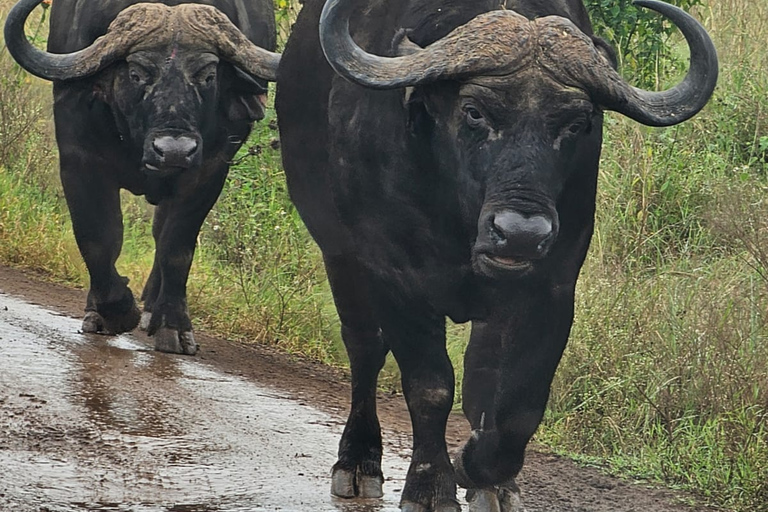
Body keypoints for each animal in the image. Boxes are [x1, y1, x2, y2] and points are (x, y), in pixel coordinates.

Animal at [4, 0, 280, 354]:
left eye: (208, 75)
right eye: (136, 74)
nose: (174, 151)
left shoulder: (209, 171)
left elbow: (176, 248)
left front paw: (173, 326)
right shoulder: (79, 159)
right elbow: (98, 237)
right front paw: (115, 312)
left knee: (161, 235)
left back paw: (153, 307)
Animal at [274, 0, 712, 508]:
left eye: (576, 123)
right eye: (474, 111)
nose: (520, 235)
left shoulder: (551, 288)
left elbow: (516, 406)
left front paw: (479, 470)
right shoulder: (393, 276)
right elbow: (429, 386)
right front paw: (430, 485)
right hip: (339, 257)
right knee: (364, 348)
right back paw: (357, 462)